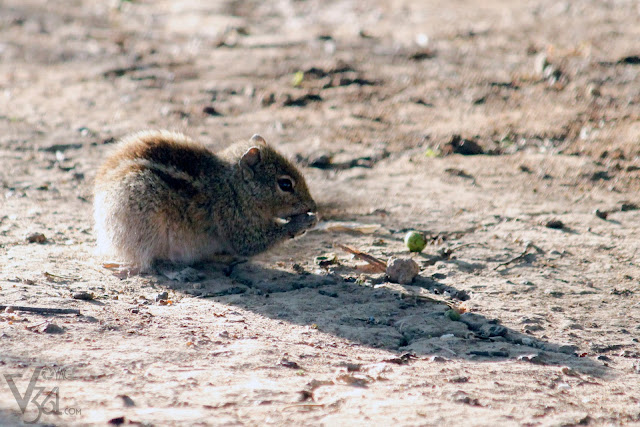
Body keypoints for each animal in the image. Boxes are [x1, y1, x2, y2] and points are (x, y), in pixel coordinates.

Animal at [92, 131, 318, 270]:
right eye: (285, 184)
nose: (314, 206)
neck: (233, 185)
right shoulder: (235, 219)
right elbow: (252, 243)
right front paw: (303, 222)